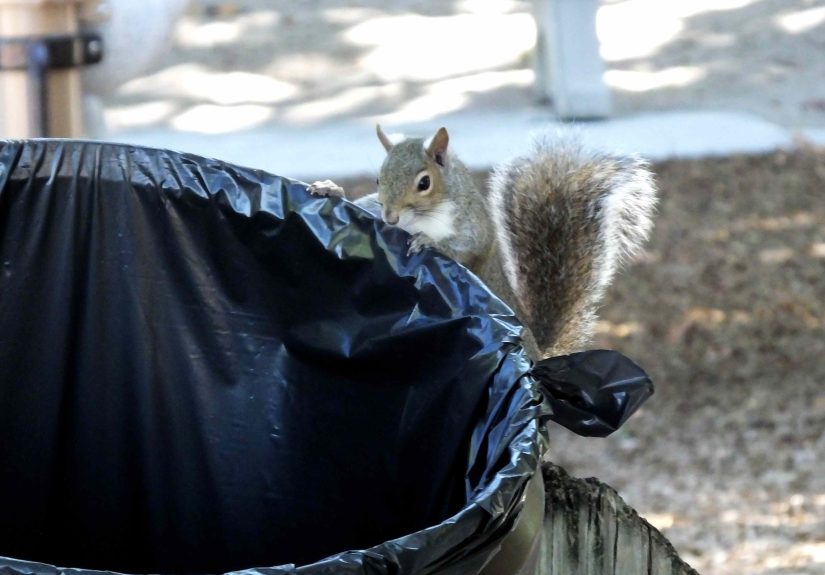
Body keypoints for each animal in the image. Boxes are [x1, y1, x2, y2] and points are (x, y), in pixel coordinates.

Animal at [309, 125, 657, 360]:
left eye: (424, 183)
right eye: (379, 179)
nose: (391, 218)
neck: (420, 217)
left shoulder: (474, 226)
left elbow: (471, 248)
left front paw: (431, 243)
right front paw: (331, 189)